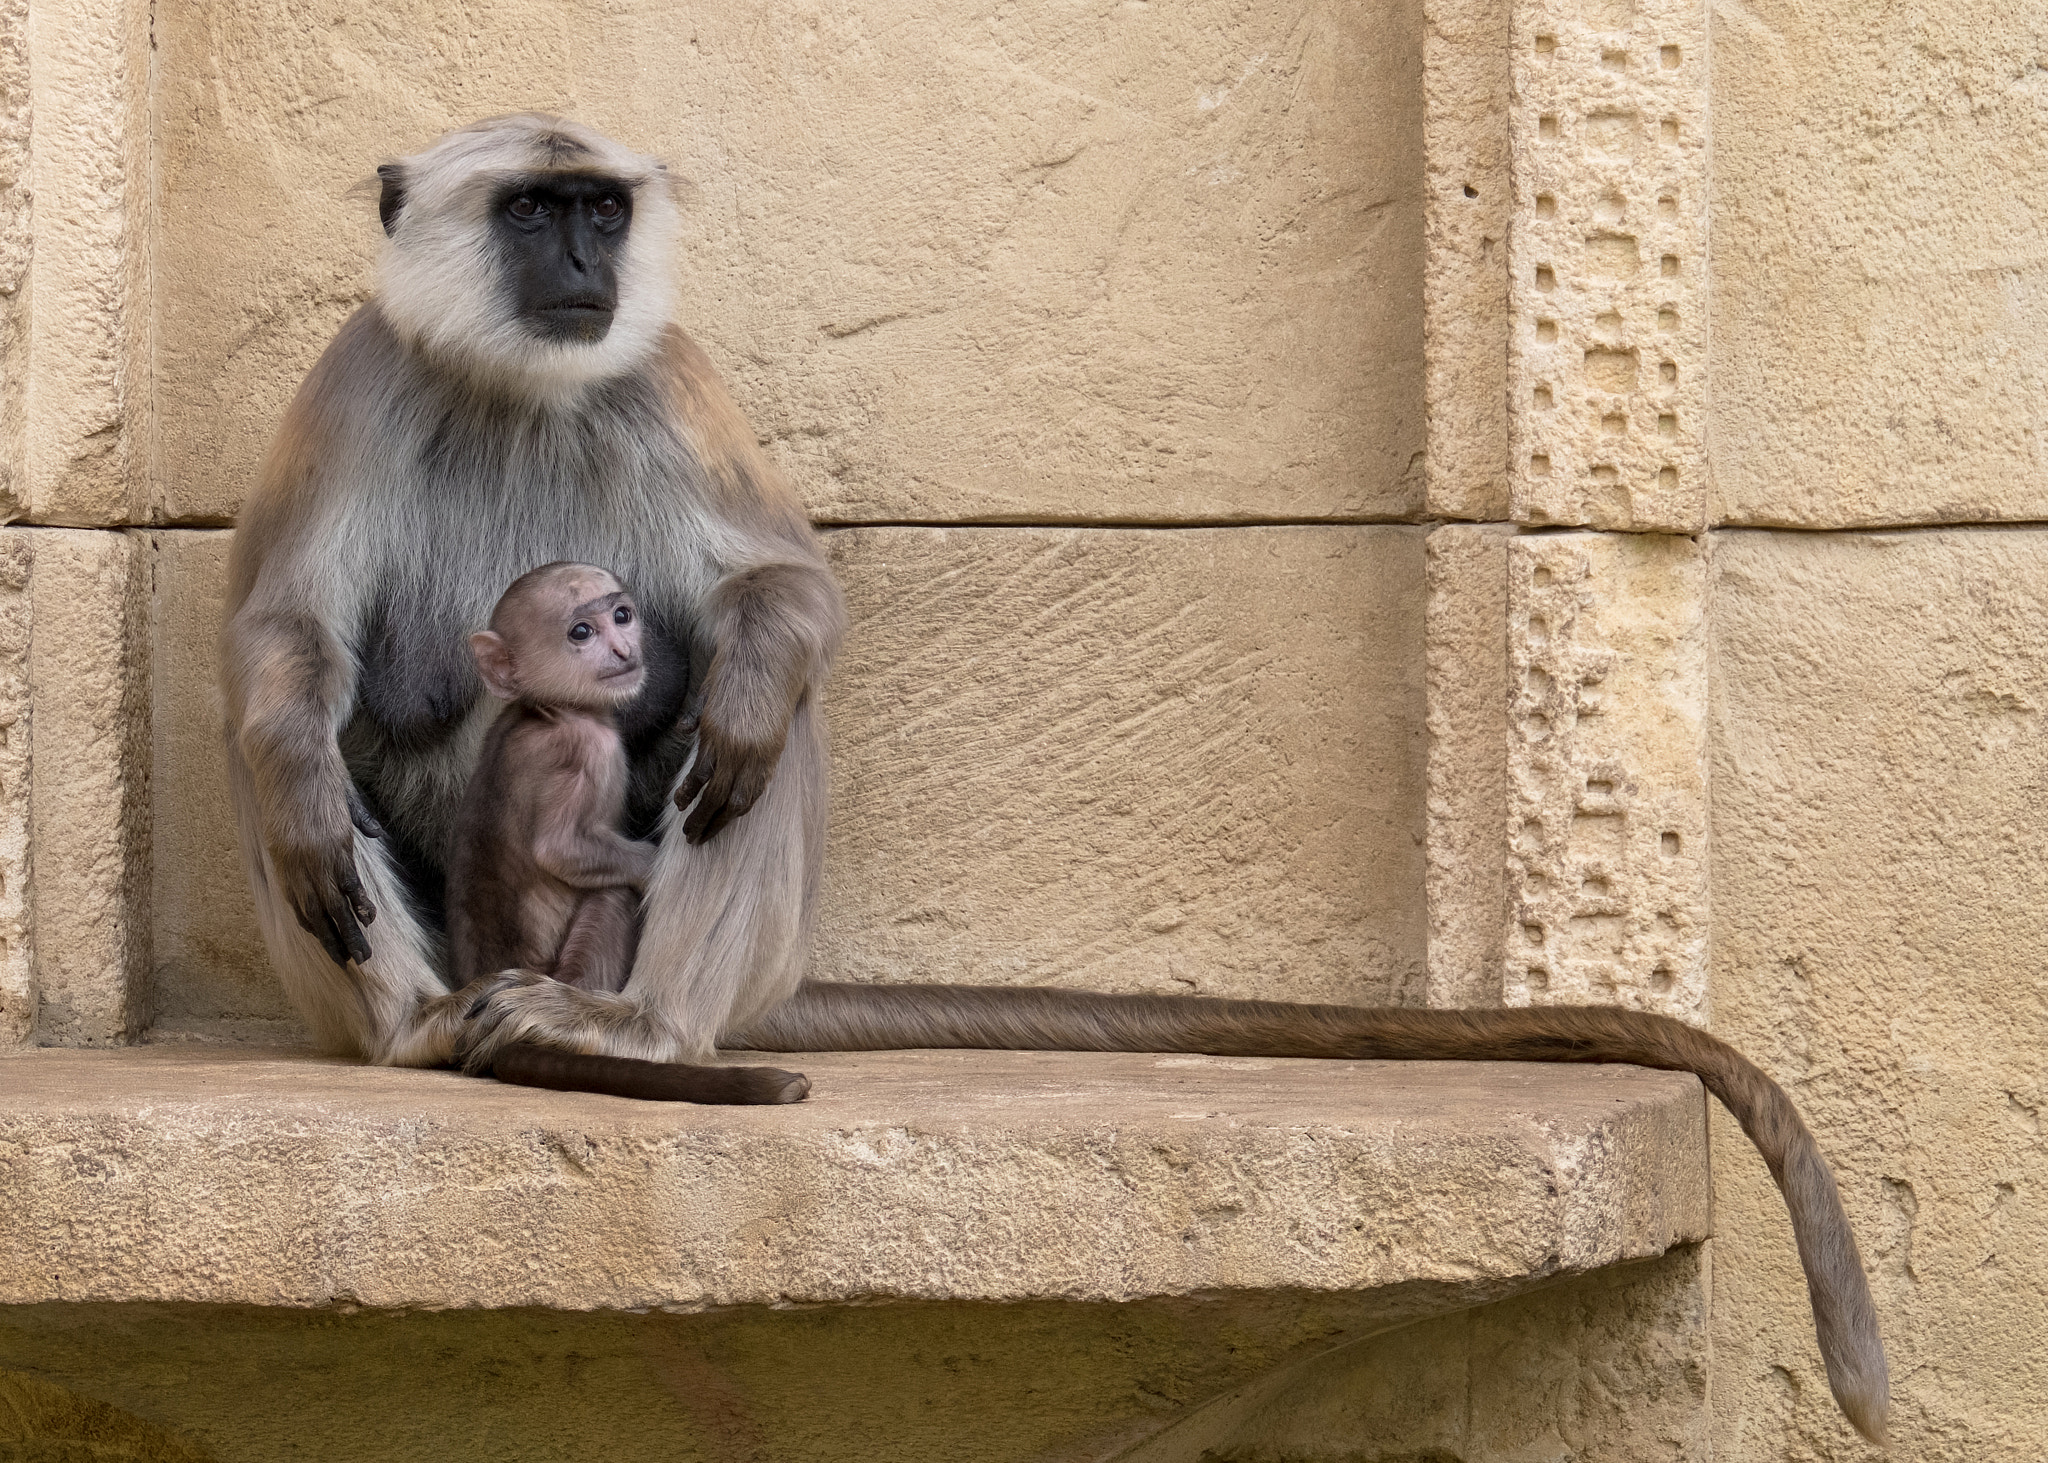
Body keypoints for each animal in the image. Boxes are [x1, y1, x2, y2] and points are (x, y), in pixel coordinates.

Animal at [448, 565, 806, 1098]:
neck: (547, 710)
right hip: (572, 968)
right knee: (614, 893)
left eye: (622, 616)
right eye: (582, 632)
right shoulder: (584, 748)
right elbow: (560, 850)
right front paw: (652, 866)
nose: (622, 650)